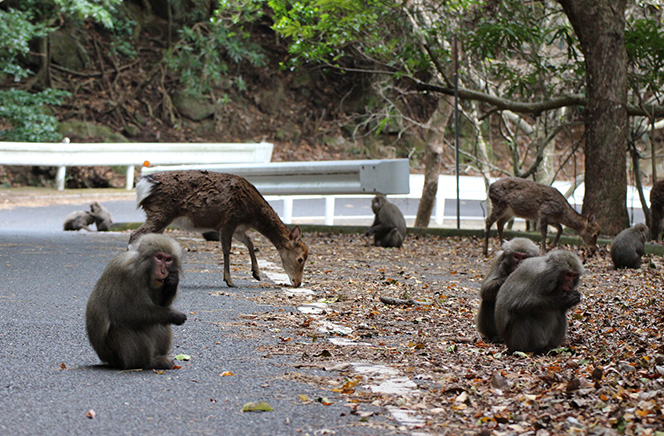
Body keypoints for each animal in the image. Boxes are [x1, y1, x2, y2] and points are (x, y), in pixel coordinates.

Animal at [128, 171, 310, 290]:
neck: (253, 215)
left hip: (161, 217)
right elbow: (227, 249)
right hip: (161, 213)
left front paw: (256, 273)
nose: (298, 283)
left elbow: (250, 243)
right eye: (300, 259)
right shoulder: (229, 221)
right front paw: (229, 280)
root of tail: (143, 184)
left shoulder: (238, 228)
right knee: (134, 235)